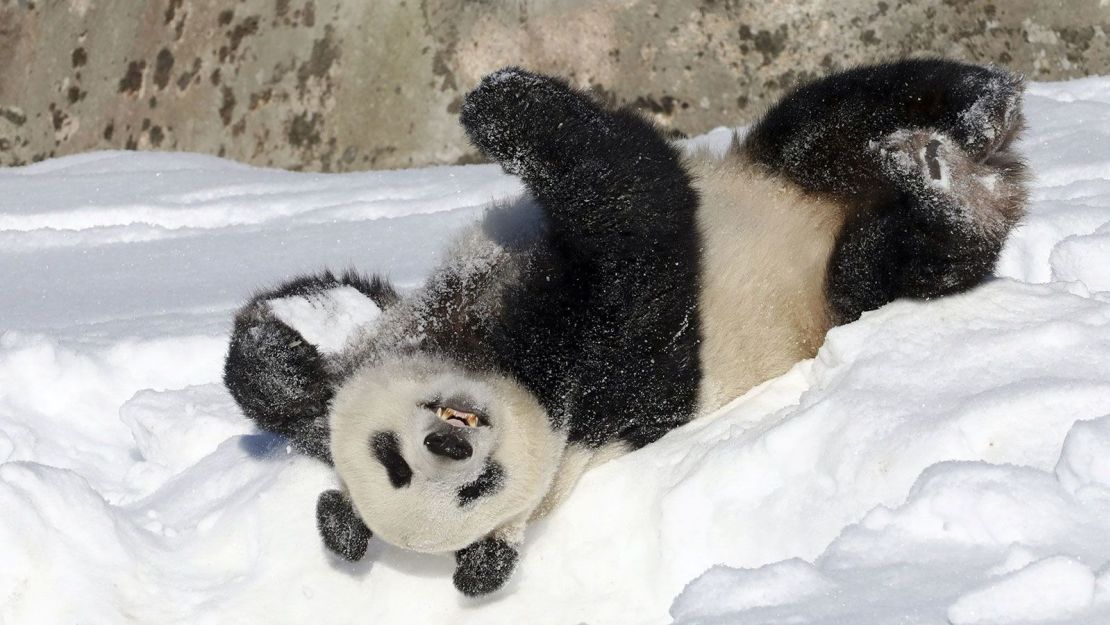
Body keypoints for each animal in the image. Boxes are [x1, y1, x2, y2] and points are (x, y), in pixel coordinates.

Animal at [220, 61, 1025, 599]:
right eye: (474, 489)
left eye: (391, 458)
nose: (450, 442)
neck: (490, 348)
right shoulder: (613, 379)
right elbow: (637, 216)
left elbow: (290, 363)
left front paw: (499, 103)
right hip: (843, 285)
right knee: (903, 258)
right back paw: (949, 189)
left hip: (788, 169)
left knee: (836, 112)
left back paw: (975, 112)